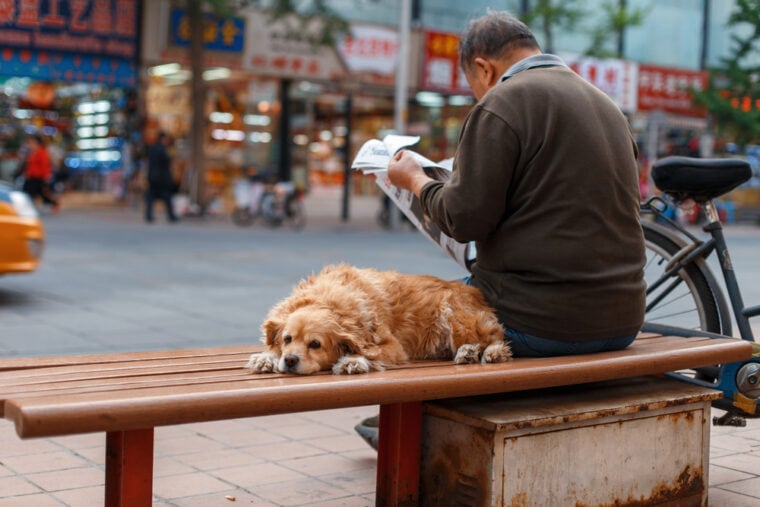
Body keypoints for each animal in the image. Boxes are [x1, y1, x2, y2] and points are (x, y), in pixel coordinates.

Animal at [246, 264, 512, 376]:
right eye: (287, 339)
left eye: (315, 344)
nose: (290, 360)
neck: (329, 300)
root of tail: (476, 292)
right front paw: (266, 357)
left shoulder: (394, 347)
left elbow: (369, 353)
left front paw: (353, 361)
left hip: (453, 314)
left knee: (496, 337)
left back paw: (483, 352)